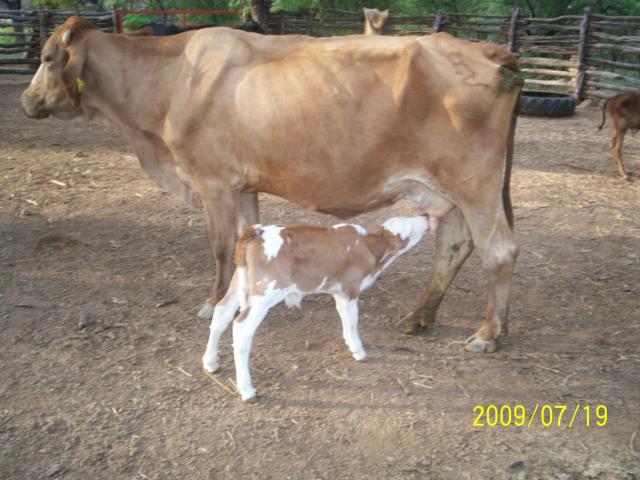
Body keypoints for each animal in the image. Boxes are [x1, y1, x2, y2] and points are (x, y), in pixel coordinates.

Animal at [21, 16, 520, 352]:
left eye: (46, 58)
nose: (26, 101)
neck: (171, 82)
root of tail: (490, 51)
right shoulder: (245, 185)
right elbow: (245, 242)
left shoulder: (214, 181)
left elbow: (221, 247)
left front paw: (211, 303)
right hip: (445, 189)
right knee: (454, 244)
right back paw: (419, 318)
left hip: (474, 182)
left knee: (498, 249)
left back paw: (487, 334)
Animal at [202, 216, 432, 400]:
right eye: (410, 225)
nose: (426, 214)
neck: (367, 246)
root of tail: (257, 231)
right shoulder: (350, 288)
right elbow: (353, 319)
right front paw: (358, 351)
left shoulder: (339, 291)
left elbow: (344, 317)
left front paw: (349, 342)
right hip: (266, 292)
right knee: (241, 328)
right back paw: (247, 390)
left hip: (239, 282)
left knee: (221, 312)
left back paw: (210, 363)